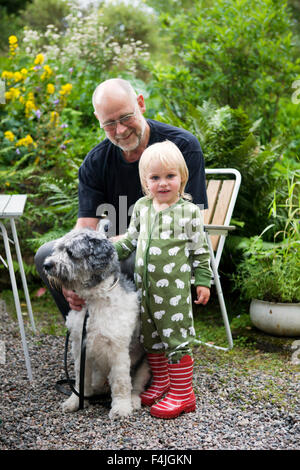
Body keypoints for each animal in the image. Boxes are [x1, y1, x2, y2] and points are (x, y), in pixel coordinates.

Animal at [42, 227, 149, 418]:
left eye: (70, 252)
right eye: (59, 248)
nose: (46, 265)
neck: (94, 301)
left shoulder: (118, 349)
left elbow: (121, 381)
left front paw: (121, 408)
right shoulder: (80, 347)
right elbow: (80, 379)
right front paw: (76, 401)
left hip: (143, 368)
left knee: (135, 386)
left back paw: (133, 401)